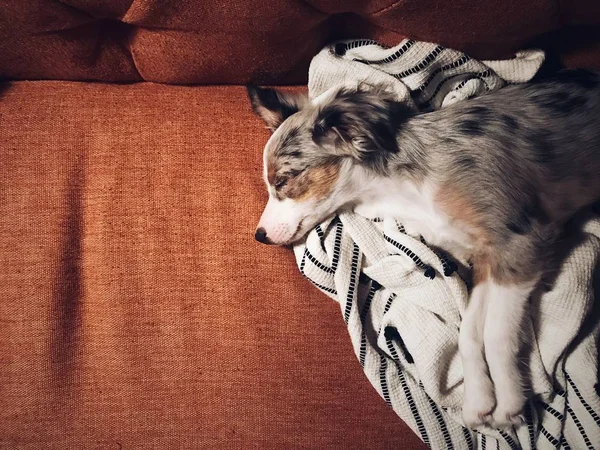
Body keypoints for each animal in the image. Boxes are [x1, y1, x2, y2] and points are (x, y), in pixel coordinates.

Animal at [246, 67, 600, 428]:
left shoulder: (519, 244)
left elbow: (496, 331)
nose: (259, 236)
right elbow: (469, 332)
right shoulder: (485, 260)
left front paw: (509, 401)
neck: (404, 193)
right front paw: (479, 400)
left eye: (284, 180)